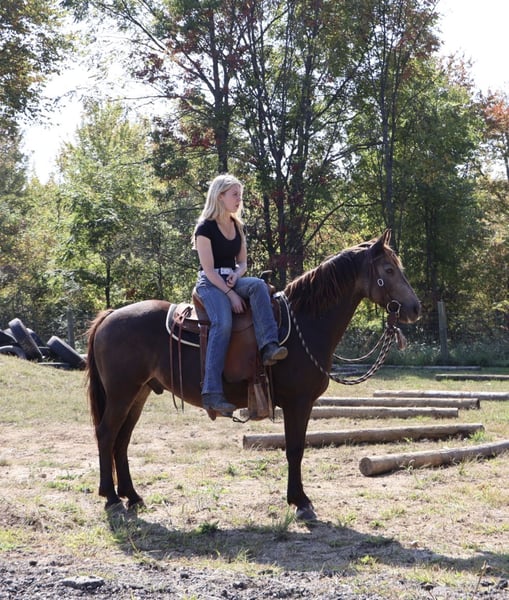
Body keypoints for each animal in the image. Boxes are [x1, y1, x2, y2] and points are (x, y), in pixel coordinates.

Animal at [86, 229, 420, 521]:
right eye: (389, 269)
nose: (415, 308)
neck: (303, 324)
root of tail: (110, 316)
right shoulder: (298, 403)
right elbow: (295, 450)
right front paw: (301, 502)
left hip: (138, 393)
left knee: (122, 439)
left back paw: (132, 495)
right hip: (122, 393)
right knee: (106, 434)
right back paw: (112, 497)